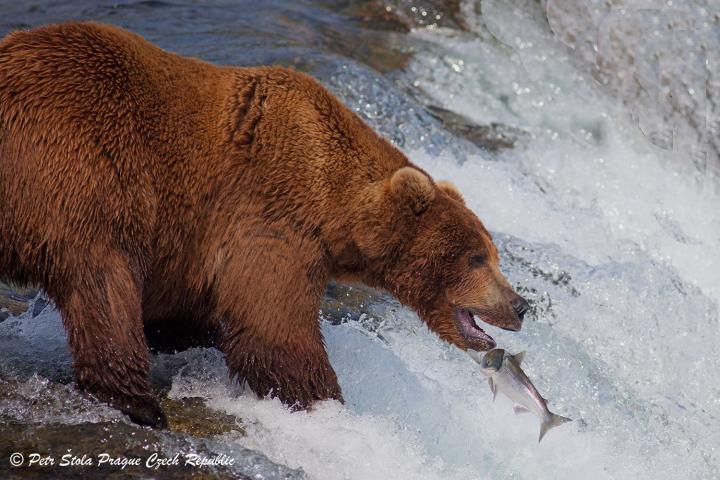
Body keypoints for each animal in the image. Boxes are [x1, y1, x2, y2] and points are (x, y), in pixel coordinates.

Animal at [0, 22, 529, 427]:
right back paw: (138, 403)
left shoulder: (193, 244)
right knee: (103, 284)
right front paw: (326, 404)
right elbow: (274, 329)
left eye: (493, 253)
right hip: (83, 166)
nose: (521, 304)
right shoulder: (269, 216)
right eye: (476, 257)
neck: (335, 204)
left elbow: (189, 313)